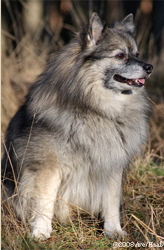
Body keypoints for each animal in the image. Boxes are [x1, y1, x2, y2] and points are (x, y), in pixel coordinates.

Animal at [1, 12, 152, 239]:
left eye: (137, 53)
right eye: (120, 56)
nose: (149, 67)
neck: (96, 110)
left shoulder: (111, 164)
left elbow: (111, 202)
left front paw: (114, 230)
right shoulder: (48, 167)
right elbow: (45, 201)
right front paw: (40, 231)